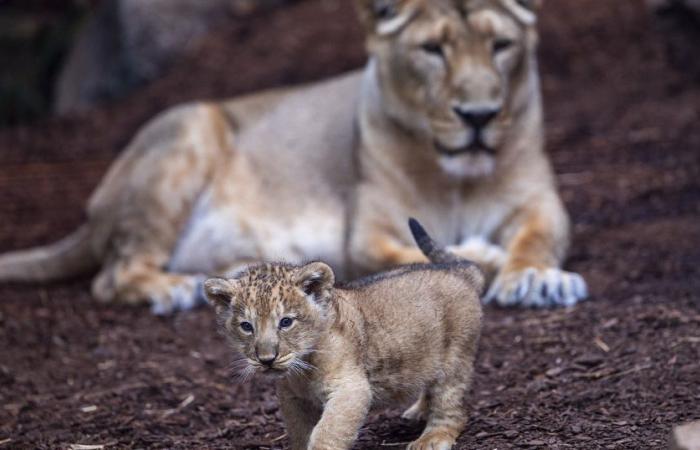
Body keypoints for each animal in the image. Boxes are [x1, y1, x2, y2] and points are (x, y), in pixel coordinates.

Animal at [0, 0, 584, 314]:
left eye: (501, 46)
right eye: (432, 50)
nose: (480, 116)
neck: (457, 178)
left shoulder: (542, 204)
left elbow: (537, 238)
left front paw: (536, 276)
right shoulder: (366, 234)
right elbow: (417, 254)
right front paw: (485, 255)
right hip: (192, 123)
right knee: (112, 274)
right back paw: (175, 289)